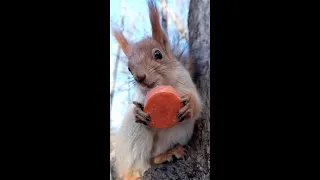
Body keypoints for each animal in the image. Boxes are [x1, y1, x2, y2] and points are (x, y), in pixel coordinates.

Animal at [112, 0, 202, 179]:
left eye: (158, 54)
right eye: (129, 68)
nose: (140, 77)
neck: (164, 83)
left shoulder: (186, 81)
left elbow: (198, 103)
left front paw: (190, 105)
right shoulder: (140, 96)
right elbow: (136, 108)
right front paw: (136, 112)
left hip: (177, 130)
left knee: (154, 157)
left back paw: (165, 155)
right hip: (134, 135)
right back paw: (133, 173)